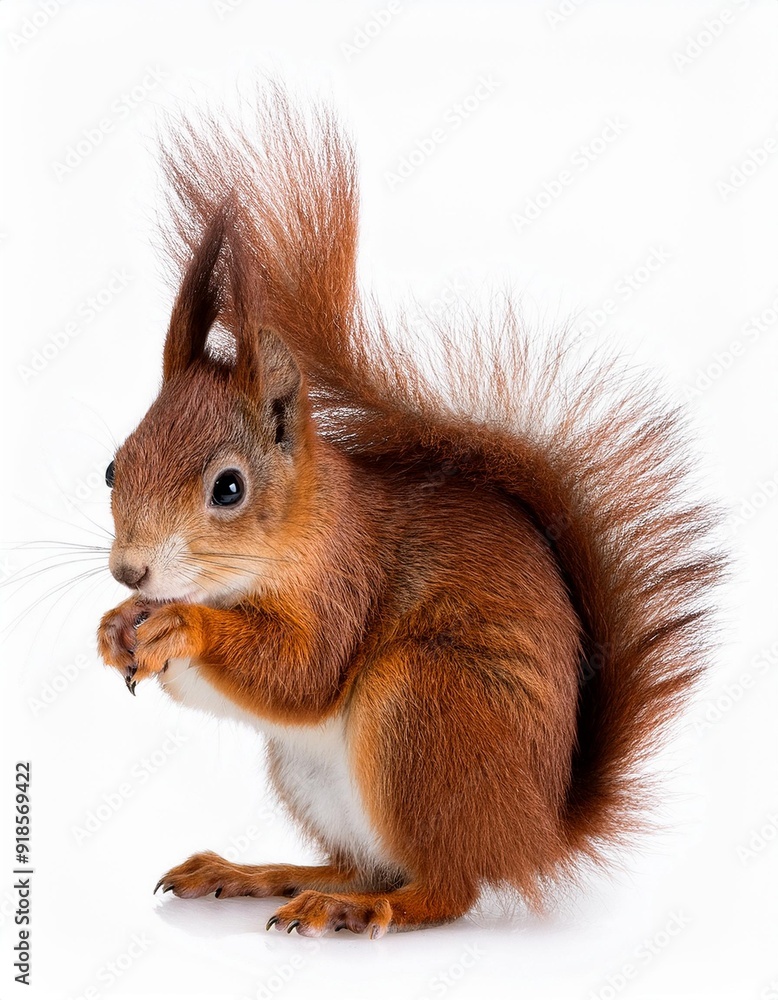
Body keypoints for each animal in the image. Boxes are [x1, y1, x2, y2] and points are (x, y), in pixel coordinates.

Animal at [96, 86, 723, 938]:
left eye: (228, 489)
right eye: (112, 467)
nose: (130, 570)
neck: (299, 529)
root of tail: (536, 832)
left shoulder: (347, 577)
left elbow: (303, 674)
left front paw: (179, 626)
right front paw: (116, 628)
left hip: (423, 704)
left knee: (442, 889)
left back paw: (355, 910)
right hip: (315, 774)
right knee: (366, 863)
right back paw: (262, 874)